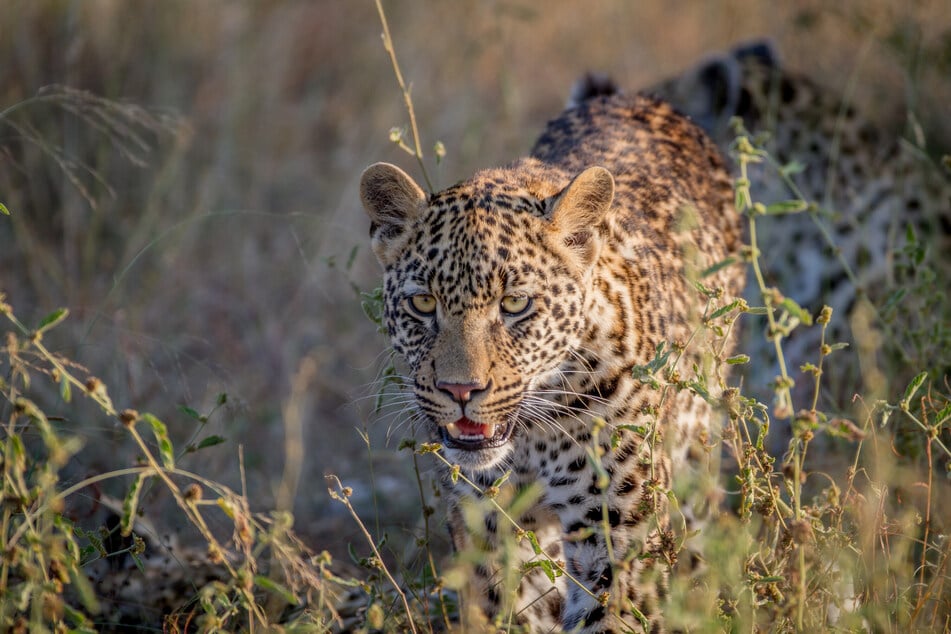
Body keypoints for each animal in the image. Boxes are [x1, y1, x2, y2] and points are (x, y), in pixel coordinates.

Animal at [360, 89, 748, 628]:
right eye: (422, 303)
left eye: (515, 303)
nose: (460, 391)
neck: (529, 442)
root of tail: (633, 97)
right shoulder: (487, 532)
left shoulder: (616, 531)